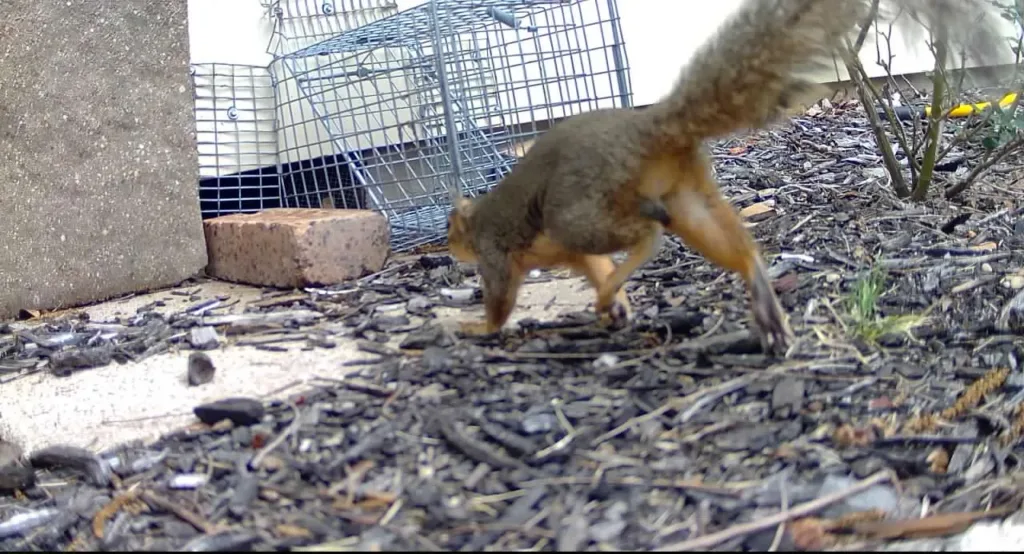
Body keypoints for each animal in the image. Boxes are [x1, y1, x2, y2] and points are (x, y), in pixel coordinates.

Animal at [447, 0, 1006, 354]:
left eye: (453, 231)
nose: (449, 248)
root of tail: (654, 127)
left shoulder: (501, 253)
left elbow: (502, 301)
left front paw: (476, 326)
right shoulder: (571, 254)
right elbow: (598, 269)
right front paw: (616, 300)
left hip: (581, 210)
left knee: (646, 234)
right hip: (686, 198)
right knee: (731, 247)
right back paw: (761, 297)